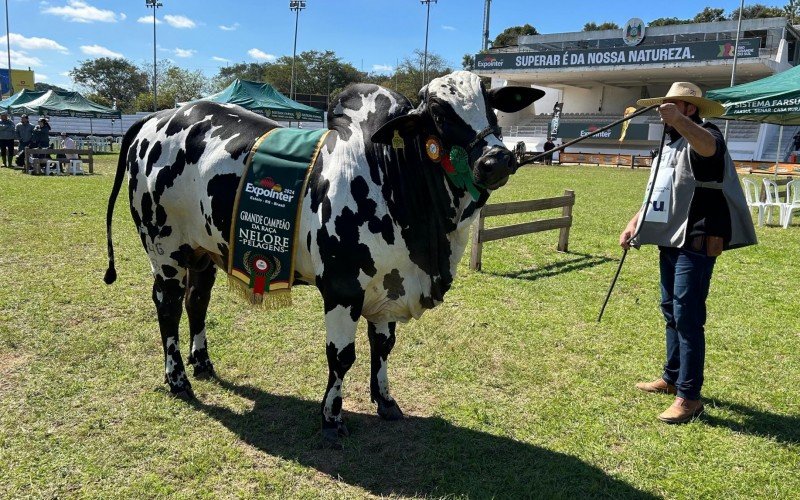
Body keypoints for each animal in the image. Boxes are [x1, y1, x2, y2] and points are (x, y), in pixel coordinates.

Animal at [103, 69, 540, 442]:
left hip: (203, 251)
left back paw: (203, 363)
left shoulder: (389, 285)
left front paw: (385, 401)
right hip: (165, 251)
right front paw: (331, 417)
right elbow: (341, 356)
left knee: (197, 302)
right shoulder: (342, 289)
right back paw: (178, 379)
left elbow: (383, 347)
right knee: (168, 307)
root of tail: (157, 117)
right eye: (437, 113)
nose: (497, 160)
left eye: (492, 105)